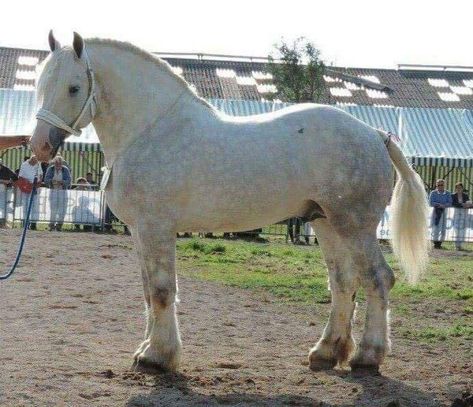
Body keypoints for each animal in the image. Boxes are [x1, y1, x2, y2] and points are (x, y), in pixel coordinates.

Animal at [29, 32, 428, 372]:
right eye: (40, 85)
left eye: (73, 87)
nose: (40, 147)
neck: (150, 130)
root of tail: (376, 135)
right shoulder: (140, 232)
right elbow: (147, 292)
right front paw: (147, 349)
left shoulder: (156, 228)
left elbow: (161, 291)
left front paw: (159, 358)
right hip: (325, 223)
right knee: (343, 283)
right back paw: (327, 352)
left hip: (355, 227)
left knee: (378, 279)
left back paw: (368, 355)